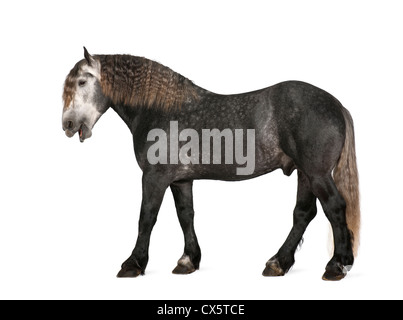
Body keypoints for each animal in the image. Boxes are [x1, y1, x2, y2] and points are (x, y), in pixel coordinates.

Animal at [62, 47, 360, 280]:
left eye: (82, 82)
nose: (68, 124)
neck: (160, 110)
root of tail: (337, 105)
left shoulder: (154, 177)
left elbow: (146, 217)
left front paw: (133, 264)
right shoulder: (181, 180)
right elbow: (186, 215)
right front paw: (188, 261)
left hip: (317, 173)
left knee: (334, 207)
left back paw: (336, 265)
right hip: (305, 174)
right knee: (304, 213)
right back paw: (278, 263)